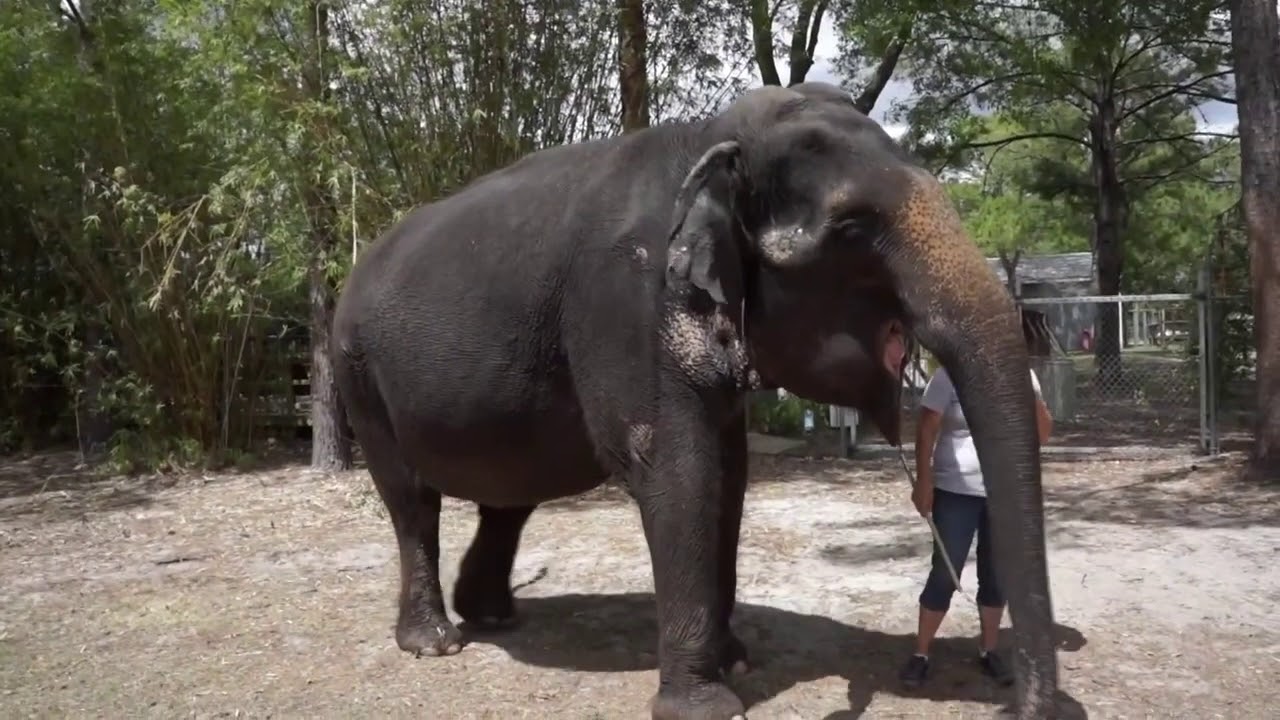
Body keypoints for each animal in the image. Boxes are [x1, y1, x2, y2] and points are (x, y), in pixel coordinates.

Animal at [330, 81, 1058, 719]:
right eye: (853, 229)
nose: (1024, 705)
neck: (708, 140)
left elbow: (730, 476)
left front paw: (734, 659)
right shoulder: (628, 299)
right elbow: (678, 471)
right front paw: (706, 703)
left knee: (508, 497)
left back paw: (493, 615)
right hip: (357, 371)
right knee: (412, 501)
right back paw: (436, 642)